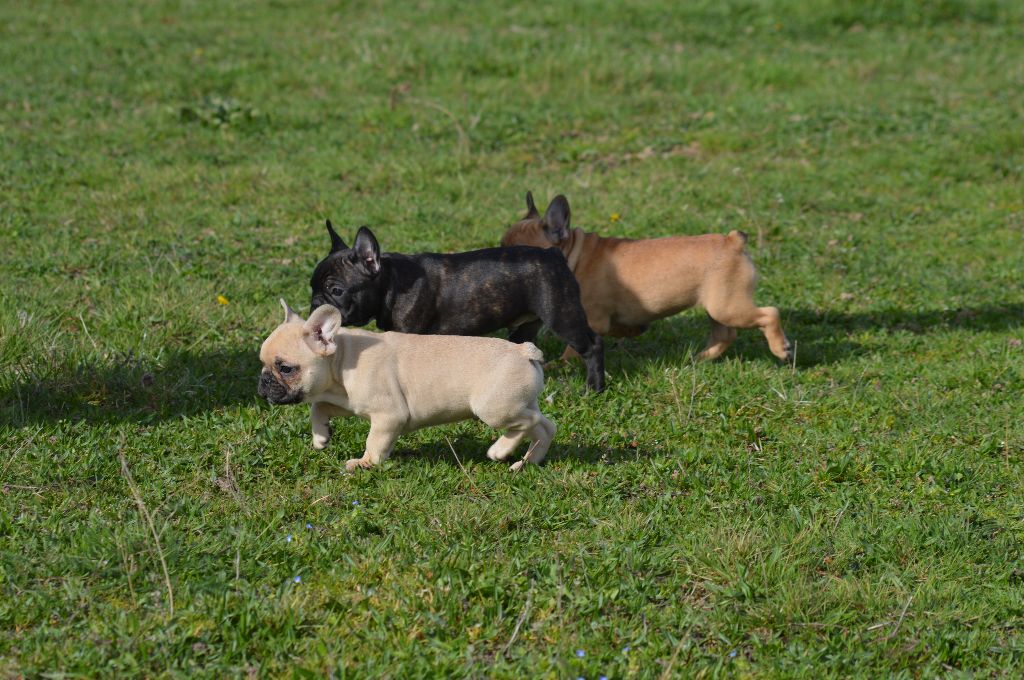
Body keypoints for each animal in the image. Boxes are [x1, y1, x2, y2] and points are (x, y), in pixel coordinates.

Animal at [260, 301, 557, 471]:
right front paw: (321, 436)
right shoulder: (346, 402)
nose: (263, 380)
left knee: (526, 423)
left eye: (285, 368)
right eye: (262, 363)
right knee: (544, 426)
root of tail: (523, 350)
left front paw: (365, 463)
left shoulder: (388, 416)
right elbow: (318, 407)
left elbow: (374, 442)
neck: (342, 358)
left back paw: (500, 450)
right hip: (520, 402)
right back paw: (528, 462)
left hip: (494, 408)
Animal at [307, 222, 602, 393]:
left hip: (561, 315)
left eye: (336, 291)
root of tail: (554, 254)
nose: (316, 303)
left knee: (592, 345)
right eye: (311, 286)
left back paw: (594, 388)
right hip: (526, 326)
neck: (392, 281)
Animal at [501, 193, 790, 364]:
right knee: (724, 334)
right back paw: (700, 358)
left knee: (769, 314)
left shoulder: (590, 321)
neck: (575, 256)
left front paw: (561, 365)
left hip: (728, 306)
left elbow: (574, 350)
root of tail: (733, 241)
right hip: (717, 305)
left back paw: (780, 348)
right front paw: (631, 330)